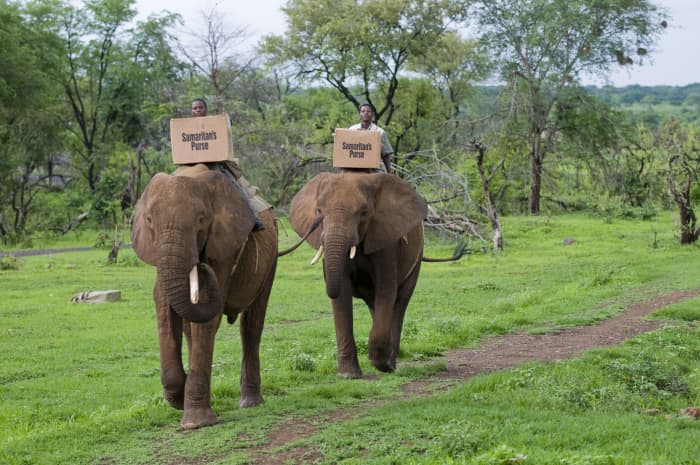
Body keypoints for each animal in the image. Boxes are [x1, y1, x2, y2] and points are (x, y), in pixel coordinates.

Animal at [131, 163, 276, 428]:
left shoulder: (224, 244)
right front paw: (179, 397)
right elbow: (163, 306)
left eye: (201, 220)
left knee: (252, 323)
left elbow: (208, 319)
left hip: (271, 258)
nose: (201, 265)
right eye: (149, 220)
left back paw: (250, 402)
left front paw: (195, 422)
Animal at [288, 170, 430, 376]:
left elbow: (386, 289)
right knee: (375, 304)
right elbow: (342, 294)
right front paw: (348, 375)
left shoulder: (385, 239)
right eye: (319, 211)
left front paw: (381, 364)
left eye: (364, 212)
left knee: (400, 301)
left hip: (417, 257)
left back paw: (390, 363)